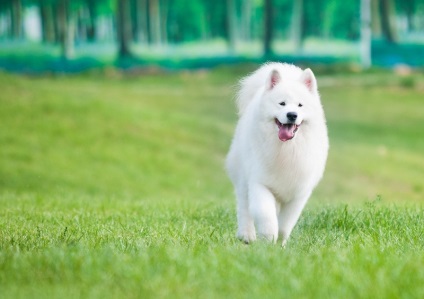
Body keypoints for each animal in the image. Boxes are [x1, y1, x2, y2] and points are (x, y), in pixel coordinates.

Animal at [225, 62, 328, 246]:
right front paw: (268, 240)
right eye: (282, 103)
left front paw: (279, 244)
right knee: (244, 207)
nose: (292, 115)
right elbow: (266, 216)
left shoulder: (298, 193)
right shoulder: (260, 183)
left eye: (300, 105)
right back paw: (246, 235)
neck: (286, 150)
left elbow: (285, 224)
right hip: (243, 177)